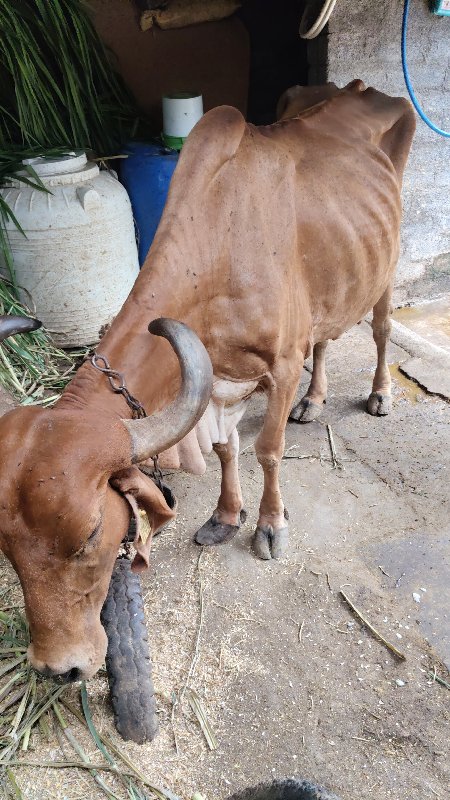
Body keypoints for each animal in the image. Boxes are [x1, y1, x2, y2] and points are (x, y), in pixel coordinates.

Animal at [0, 80, 415, 682]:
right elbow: (225, 448)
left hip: (386, 262)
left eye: (91, 535)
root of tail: (361, 88)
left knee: (381, 327)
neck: (219, 250)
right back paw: (314, 401)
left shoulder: (281, 363)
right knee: (326, 337)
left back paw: (380, 393)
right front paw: (225, 516)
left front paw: (269, 525)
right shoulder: (217, 381)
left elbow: (267, 450)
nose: (60, 668)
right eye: (5, 548)